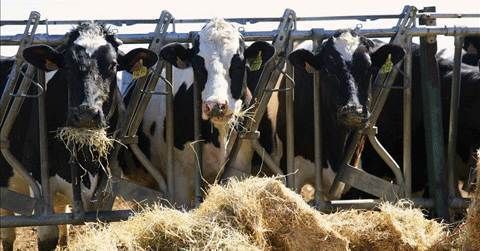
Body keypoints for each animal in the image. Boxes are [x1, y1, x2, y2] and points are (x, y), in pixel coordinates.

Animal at [0, 22, 158, 251]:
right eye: (66, 65)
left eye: (112, 65)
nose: (86, 113)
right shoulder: (39, 184)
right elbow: (47, 237)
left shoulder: (108, 186)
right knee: (8, 233)